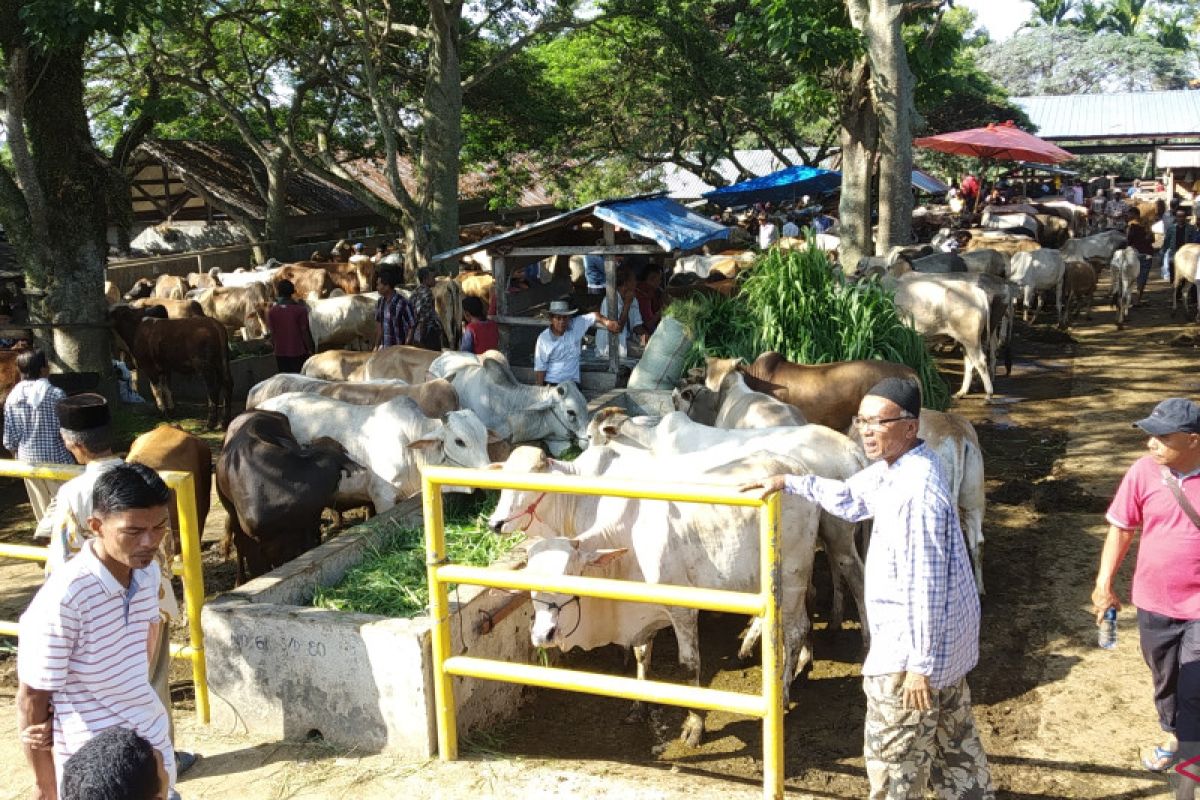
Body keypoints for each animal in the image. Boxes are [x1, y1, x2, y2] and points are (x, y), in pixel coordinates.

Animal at [492, 443, 820, 743]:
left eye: (570, 575)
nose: (542, 635)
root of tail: (796, 466)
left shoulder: (683, 610)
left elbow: (689, 665)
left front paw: (694, 725)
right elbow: (641, 655)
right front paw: (639, 705)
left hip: (792, 576)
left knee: (795, 630)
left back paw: (784, 691)